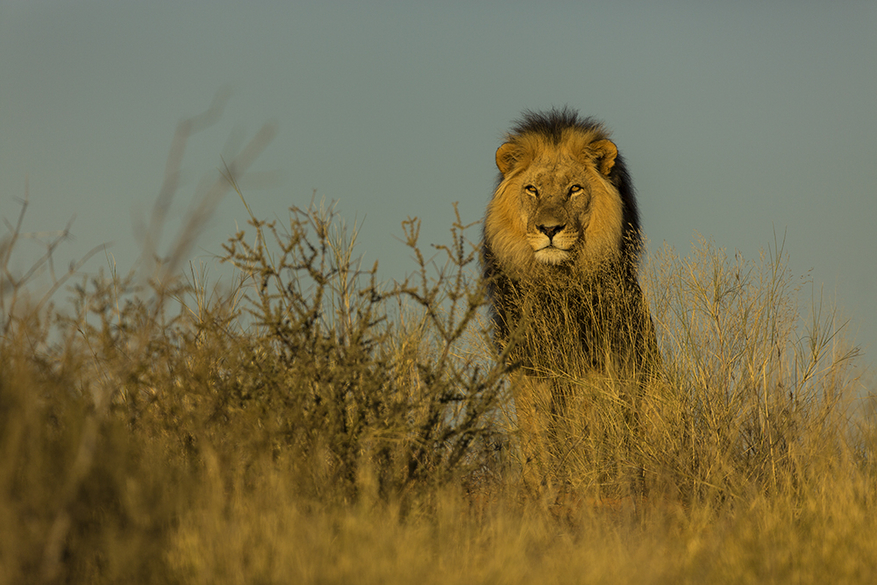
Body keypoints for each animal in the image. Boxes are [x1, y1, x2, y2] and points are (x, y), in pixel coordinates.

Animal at [480, 107, 656, 490]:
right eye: (532, 190)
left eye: (574, 189)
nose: (549, 230)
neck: (557, 283)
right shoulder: (528, 362)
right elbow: (535, 430)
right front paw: (539, 483)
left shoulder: (596, 360)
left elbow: (587, 423)